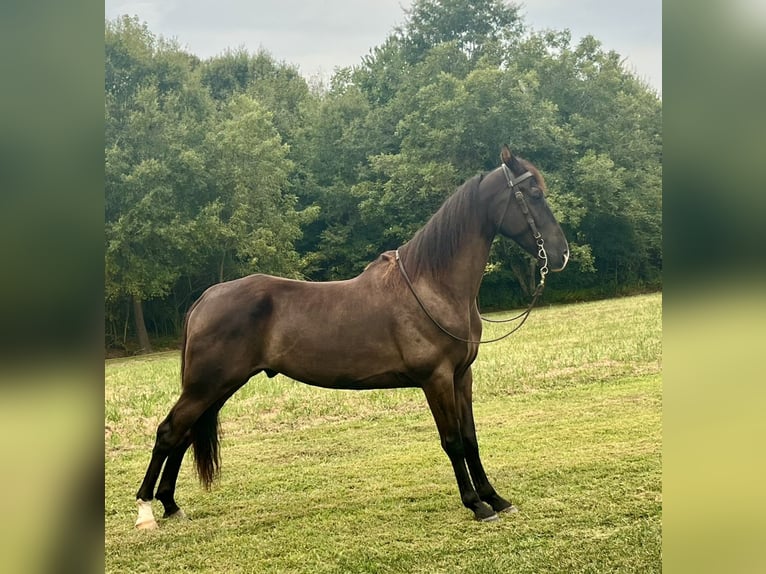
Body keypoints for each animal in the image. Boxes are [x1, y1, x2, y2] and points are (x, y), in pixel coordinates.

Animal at [136, 148, 568, 532]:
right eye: (533, 194)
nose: (561, 253)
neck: (432, 286)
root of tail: (206, 297)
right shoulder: (437, 380)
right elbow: (452, 442)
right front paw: (476, 505)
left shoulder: (462, 377)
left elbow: (471, 439)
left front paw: (496, 499)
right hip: (207, 386)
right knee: (169, 432)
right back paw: (146, 511)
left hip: (217, 387)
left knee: (183, 434)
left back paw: (171, 505)